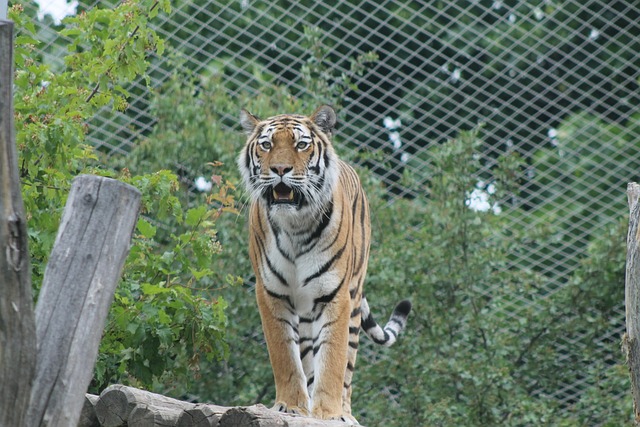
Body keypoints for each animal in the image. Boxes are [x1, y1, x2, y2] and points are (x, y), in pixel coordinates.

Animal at [238, 104, 412, 424]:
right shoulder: (270, 293)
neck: (295, 225)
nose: (280, 170)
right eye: (266, 145)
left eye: (301, 145)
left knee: (348, 367)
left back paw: (345, 414)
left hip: (353, 300)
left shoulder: (336, 295)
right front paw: (290, 406)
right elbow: (285, 357)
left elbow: (333, 359)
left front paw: (328, 414)